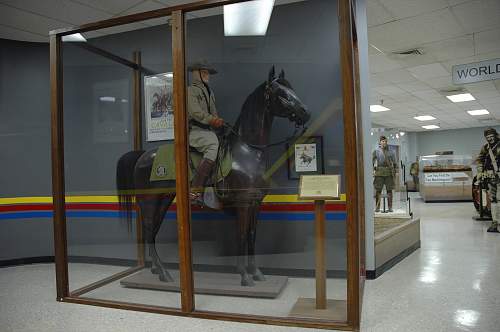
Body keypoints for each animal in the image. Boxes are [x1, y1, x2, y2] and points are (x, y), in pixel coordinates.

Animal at [117, 67, 310, 286]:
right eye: (282, 94)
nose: (306, 112)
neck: (247, 152)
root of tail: (143, 155)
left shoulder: (255, 203)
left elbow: (252, 236)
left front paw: (256, 272)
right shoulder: (243, 204)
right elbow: (241, 236)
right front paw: (244, 275)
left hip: (163, 200)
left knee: (153, 231)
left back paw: (158, 270)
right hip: (150, 200)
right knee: (150, 229)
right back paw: (164, 273)